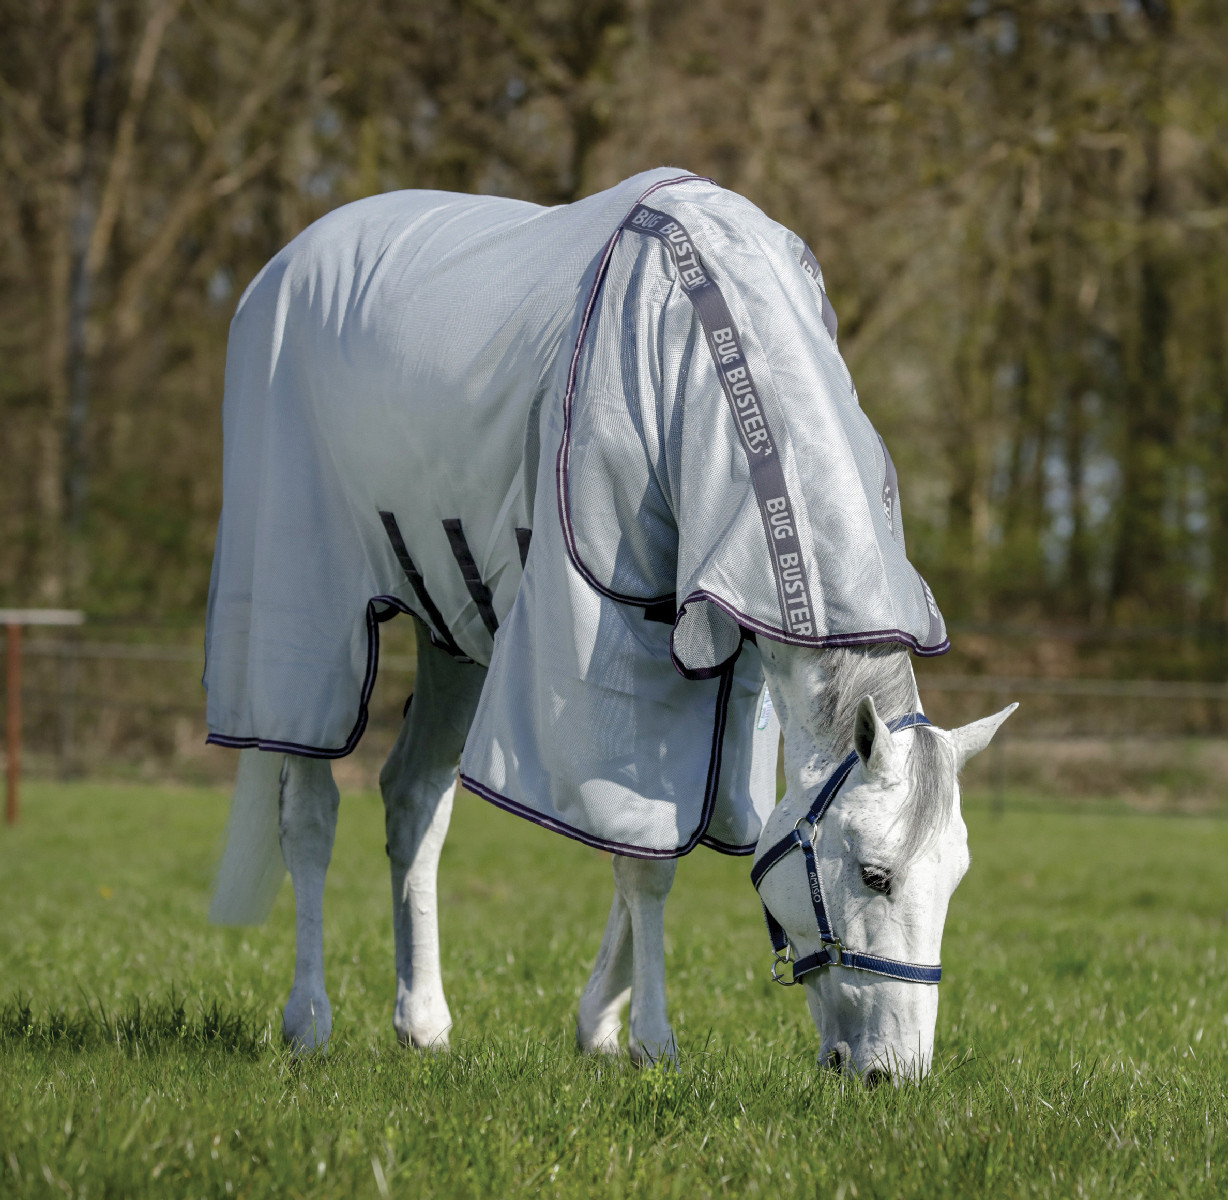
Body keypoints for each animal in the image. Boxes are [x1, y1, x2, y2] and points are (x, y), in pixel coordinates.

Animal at [204, 167, 1014, 1081]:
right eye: (875, 877)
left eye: (955, 879)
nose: (895, 1072)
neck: (704, 369)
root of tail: (280, 269)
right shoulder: (617, 654)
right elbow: (644, 862)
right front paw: (651, 1041)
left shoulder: (734, 678)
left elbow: (680, 838)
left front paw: (598, 1023)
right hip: (308, 620)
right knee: (309, 812)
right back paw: (308, 1019)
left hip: (456, 635)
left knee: (412, 802)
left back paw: (424, 1022)